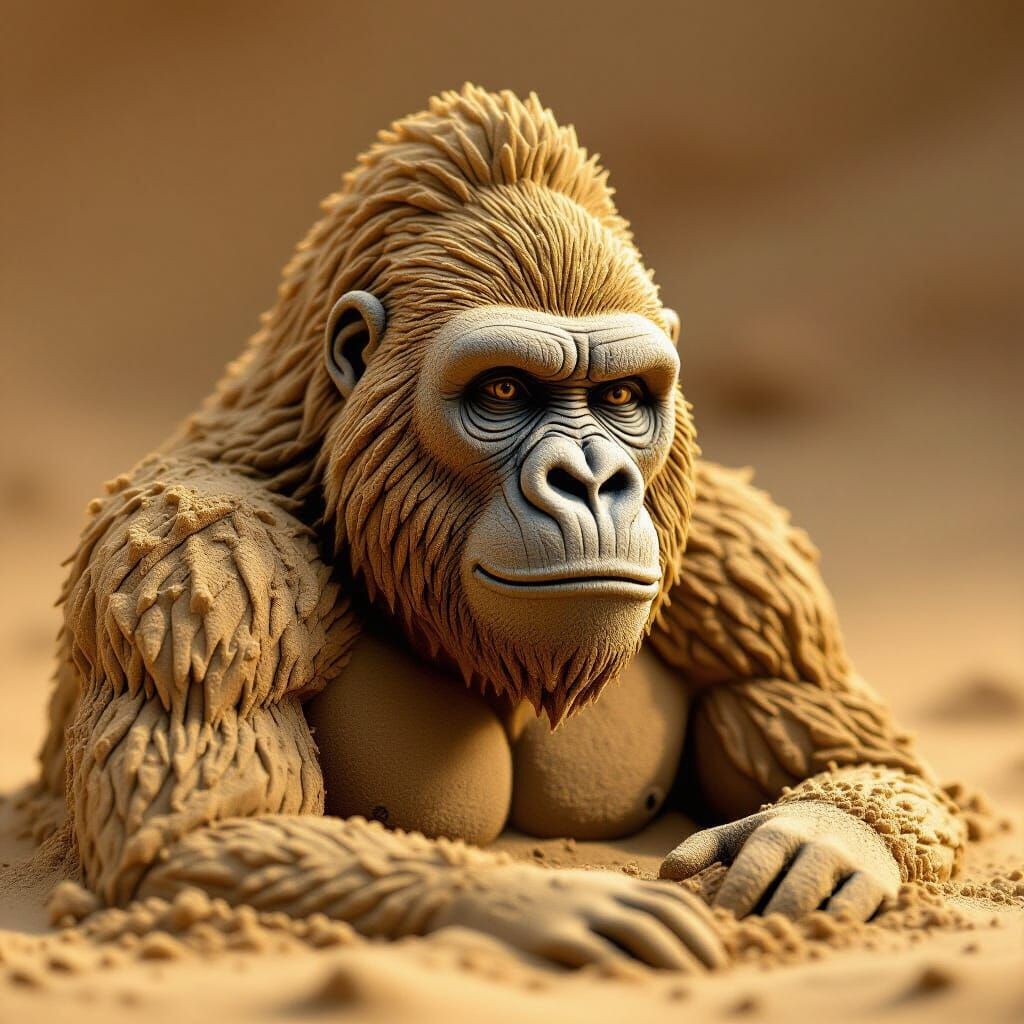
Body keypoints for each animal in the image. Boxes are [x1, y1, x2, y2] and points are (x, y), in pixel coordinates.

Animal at [34, 85, 966, 972]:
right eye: (504, 390)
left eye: (622, 397)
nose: (590, 481)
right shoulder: (196, 556)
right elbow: (199, 833)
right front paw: (535, 902)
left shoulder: (743, 550)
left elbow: (881, 756)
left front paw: (819, 838)